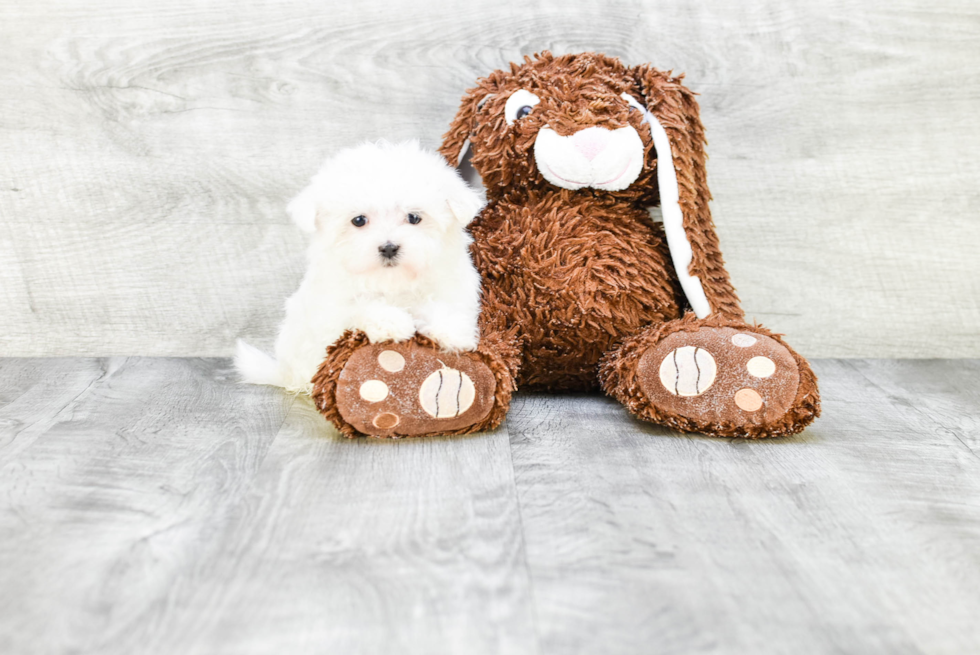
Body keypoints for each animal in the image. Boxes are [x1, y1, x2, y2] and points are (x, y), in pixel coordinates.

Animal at [235, 140, 484, 392]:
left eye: (414, 217)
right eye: (359, 220)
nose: (389, 247)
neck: (392, 281)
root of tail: (284, 374)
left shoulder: (449, 283)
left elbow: (442, 305)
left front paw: (453, 332)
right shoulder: (330, 306)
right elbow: (360, 305)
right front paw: (392, 322)